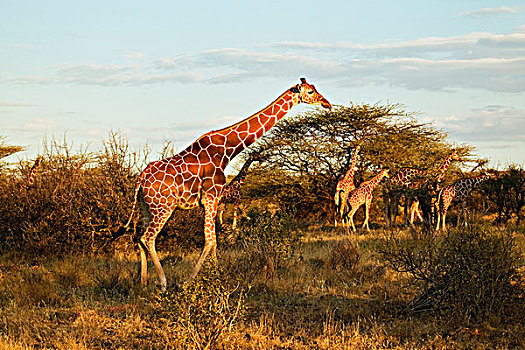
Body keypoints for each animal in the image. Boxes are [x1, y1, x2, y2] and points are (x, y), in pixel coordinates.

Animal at [119, 78, 332, 290]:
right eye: (310, 92)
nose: (327, 103)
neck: (227, 151)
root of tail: (141, 177)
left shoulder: (212, 200)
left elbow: (213, 240)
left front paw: (216, 276)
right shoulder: (211, 198)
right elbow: (209, 240)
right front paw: (192, 281)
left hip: (145, 207)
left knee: (138, 237)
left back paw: (143, 282)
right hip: (163, 207)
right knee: (148, 237)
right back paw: (163, 283)